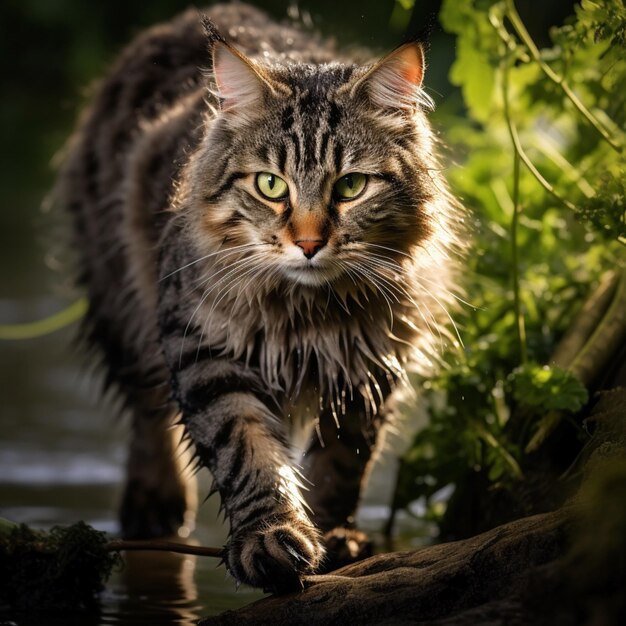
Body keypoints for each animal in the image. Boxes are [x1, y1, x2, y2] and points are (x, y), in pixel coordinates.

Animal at [53, 3, 460, 588]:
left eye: (351, 187)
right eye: (271, 186)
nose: (309, 243)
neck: (309, 313)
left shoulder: (374, 362)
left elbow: (343, 460)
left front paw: (334, 536)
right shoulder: (205, 348)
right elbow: (246, 448)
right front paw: (271, 538)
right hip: (120, 300)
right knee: (148, 412)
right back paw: (157, 506)